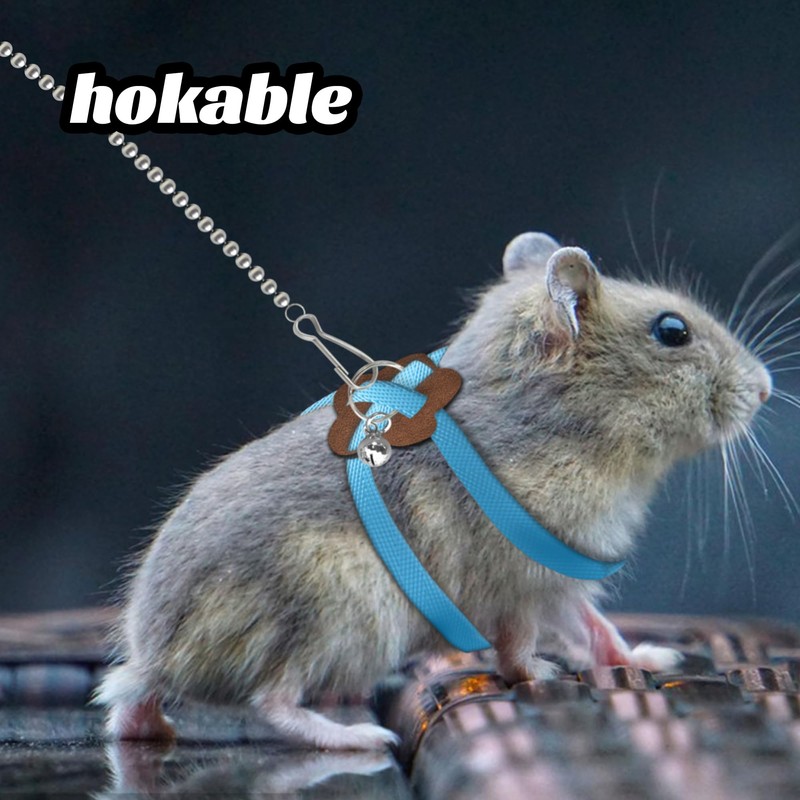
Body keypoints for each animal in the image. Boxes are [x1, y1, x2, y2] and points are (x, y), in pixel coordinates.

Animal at [95, 232, 772, 749]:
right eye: (672, 331)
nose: (766, 387)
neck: (572, 426)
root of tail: (160, 656)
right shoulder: (520, 585)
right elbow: (522, 646)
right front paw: (541, 673)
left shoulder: (562, 577)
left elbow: (600, 629)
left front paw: (656, 660)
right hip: (337, 615)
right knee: (271, 701)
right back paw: (358, 738)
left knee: (131, 709)